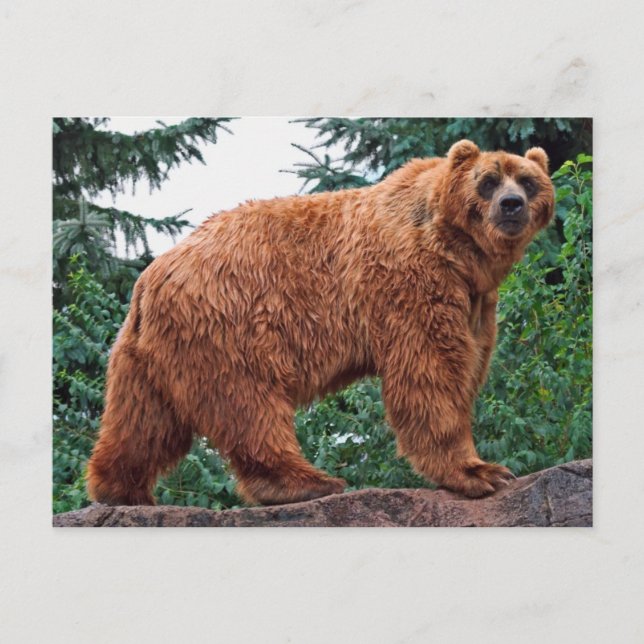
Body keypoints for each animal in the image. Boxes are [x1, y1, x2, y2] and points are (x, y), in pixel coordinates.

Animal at [86, 139, 555, 506]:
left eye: (528, 181)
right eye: (488, 181)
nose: (511, 205)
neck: (457, 249)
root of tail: (150, 278)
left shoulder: (475, 298)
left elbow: (469, 360)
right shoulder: (410, 280)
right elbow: (430, 370)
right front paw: (481, 471)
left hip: (149, 353)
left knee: (145, 419)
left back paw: (120, 489)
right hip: (229, 320)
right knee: (248, 402)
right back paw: (307, 482)